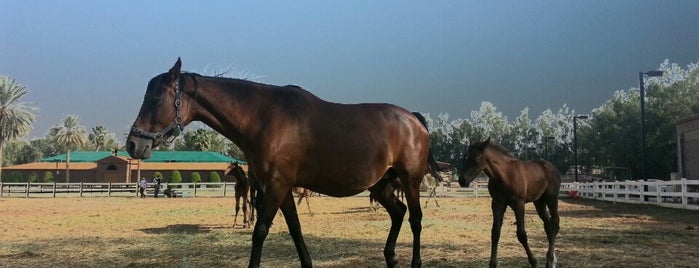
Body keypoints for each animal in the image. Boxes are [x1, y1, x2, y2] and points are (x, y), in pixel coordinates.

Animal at [125, 58, 440, 268]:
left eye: (155, 99)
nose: (133, 144)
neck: (265, 118)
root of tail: (413, 120)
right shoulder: (283, 188)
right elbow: (295, 229)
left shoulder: (276, 186)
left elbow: (260, 232)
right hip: (381, 185)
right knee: (398, 212)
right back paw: (389, 256)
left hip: (410, 181)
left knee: (415, 218)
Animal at [460, 138, 564, 268]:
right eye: (465, 157)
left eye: (475, 159)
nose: (462, 180)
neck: (505, 175)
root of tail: (553, 168)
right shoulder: (497, 204)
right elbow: (495, 233)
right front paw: (492, 264)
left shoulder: (518, 204)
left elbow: (522, 234)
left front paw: (534, 262)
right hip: (539, 202)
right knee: (548, 225)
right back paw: (550, 260)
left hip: (552, 199)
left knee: (555, 223)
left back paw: (551, 259)